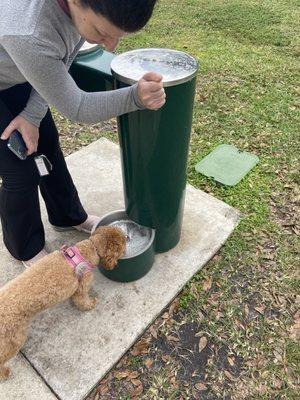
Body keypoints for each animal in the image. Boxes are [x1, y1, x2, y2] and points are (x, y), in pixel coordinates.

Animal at [0, 225, 125, 382]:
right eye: (123, 248)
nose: (127, 241)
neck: (88, 249)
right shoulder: (82, 285)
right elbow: (82, 300)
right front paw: (90, 305)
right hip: (14, 340)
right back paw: (4, 373)